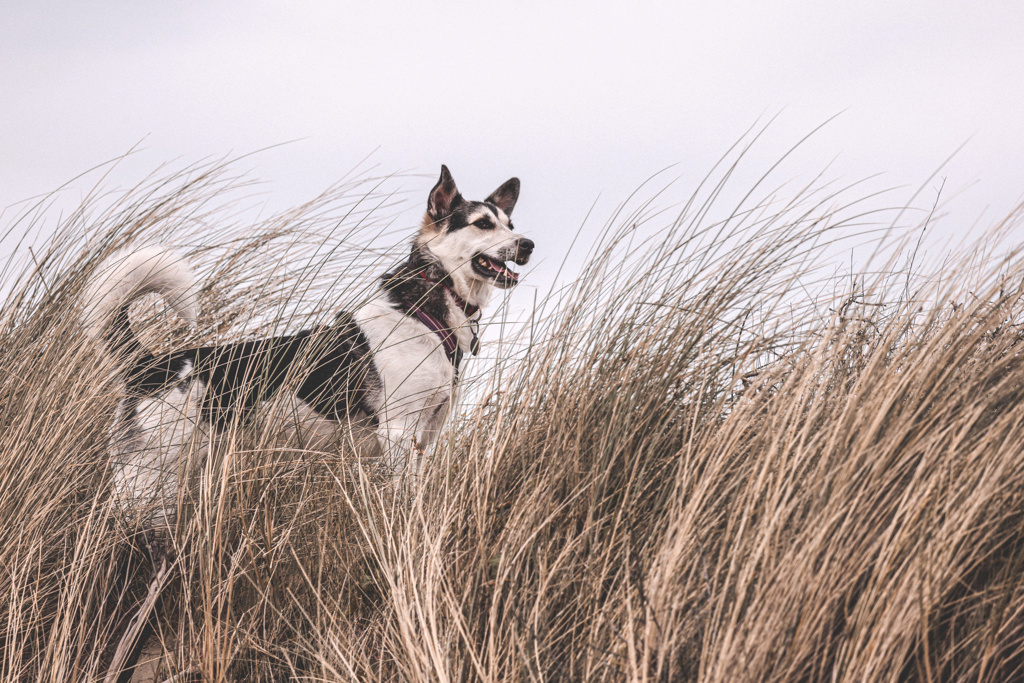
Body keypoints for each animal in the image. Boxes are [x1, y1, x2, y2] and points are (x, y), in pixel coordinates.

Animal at [86, 166, 536, 518]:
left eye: (511, 226)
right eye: (482, 224)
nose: (528, 244)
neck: (423, 316)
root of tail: (151, 363)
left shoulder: (426, 438)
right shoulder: (398, 432)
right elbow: (401, 499)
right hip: (147, 476)